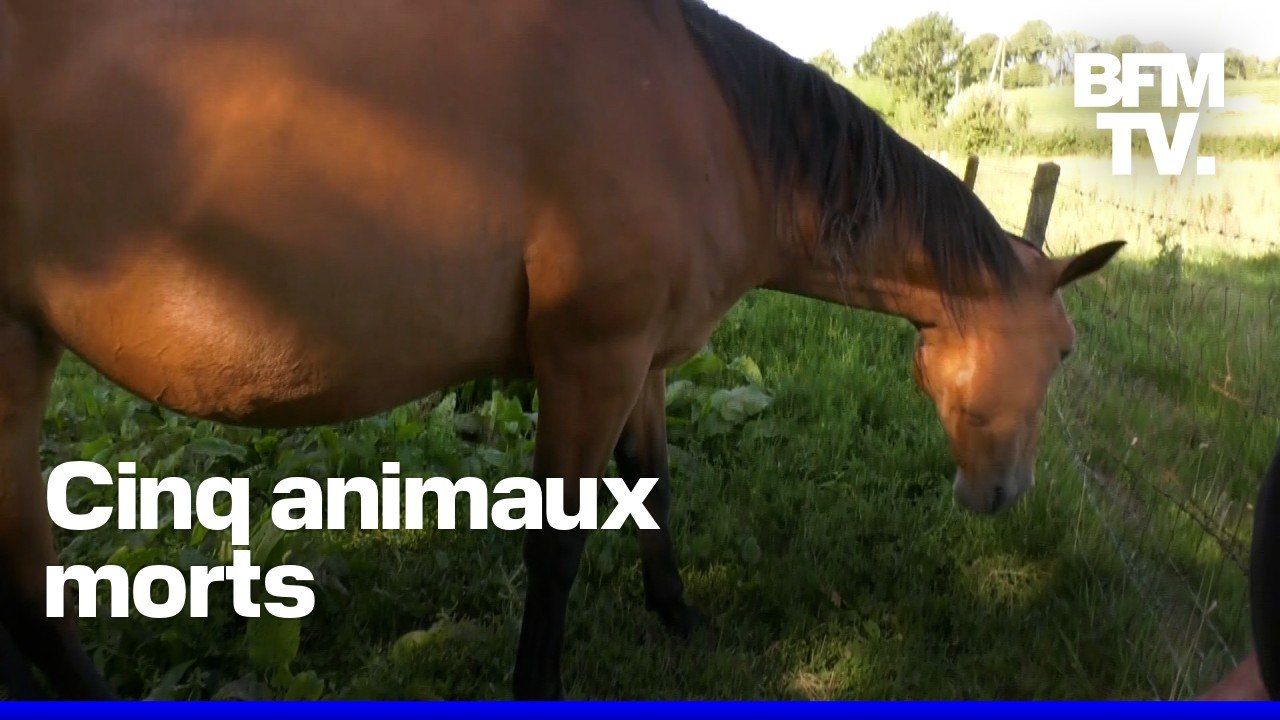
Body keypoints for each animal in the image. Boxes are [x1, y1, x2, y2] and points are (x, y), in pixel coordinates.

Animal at [0, 0, 1123, 699]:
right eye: (1064, 352)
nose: (1003, 495)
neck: (709, 125)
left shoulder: (644, 363)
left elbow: (652, 482)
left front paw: (677, 615)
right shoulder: (590, 360)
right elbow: (558, 542)